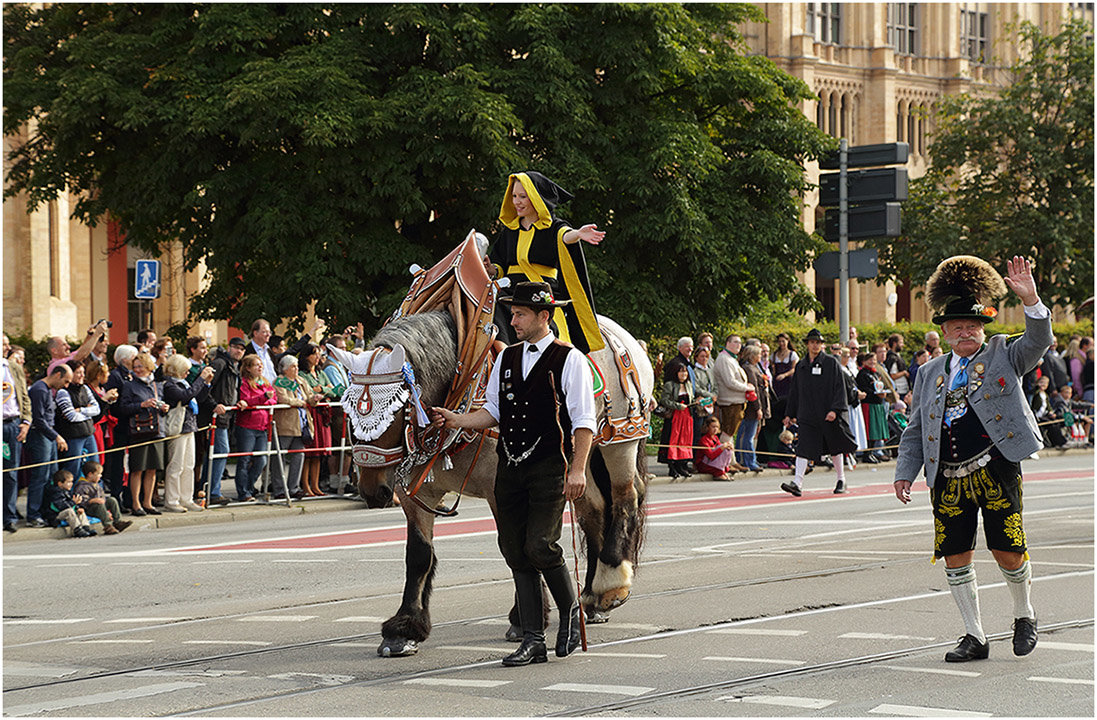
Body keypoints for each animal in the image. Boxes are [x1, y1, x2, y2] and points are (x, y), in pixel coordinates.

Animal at [324, 309, 649, 658]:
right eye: (348, 411)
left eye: (396, 410)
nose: (373, 491)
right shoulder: (416, 494)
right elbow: (419, 555)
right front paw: (404, 628)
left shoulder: (501, 488)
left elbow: (515, 548)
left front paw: (525, 618)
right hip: (576, 459)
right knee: (594, 511)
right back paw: (591, 597)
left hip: (618, 442)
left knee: (625, 499)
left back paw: (610, 583)